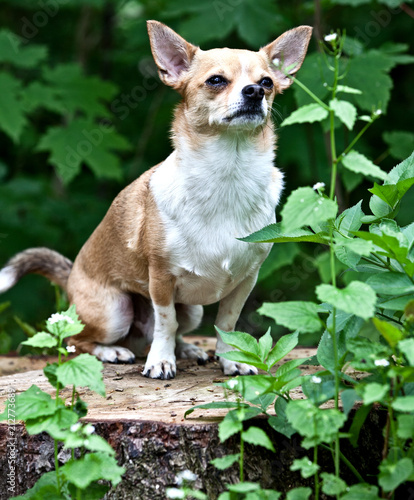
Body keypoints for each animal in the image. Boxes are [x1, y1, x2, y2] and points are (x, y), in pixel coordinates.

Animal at [0, 19, 310, 378]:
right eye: (216, 80)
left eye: (267, 82)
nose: (255, 92)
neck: (227, 175)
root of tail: (72, 276)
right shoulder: (161, 279)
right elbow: (166, 322)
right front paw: (161, 361)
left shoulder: (245, 282)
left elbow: (227, 324)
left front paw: (231, 359)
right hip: (114, 312)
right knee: (76, 342)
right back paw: (114, 352)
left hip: (193, 311)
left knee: (170, 331)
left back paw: (188, 349)